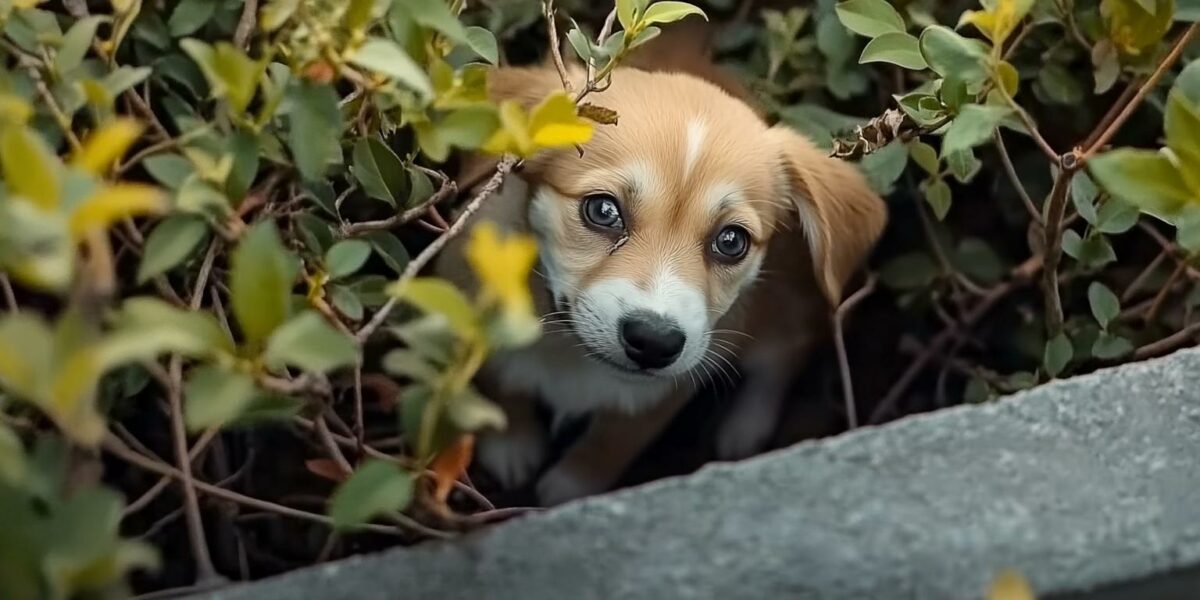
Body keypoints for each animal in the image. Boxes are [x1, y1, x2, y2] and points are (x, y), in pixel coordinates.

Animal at [436, 23, 888, 504]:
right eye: (603, 211)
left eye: (731, 241)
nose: (653, 342)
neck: (571, 353)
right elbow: (499, 385)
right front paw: (510, 444)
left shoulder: (666, 390)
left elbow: (610, 443)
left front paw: (570, 489)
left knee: (788, 348)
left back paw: (746, 429)